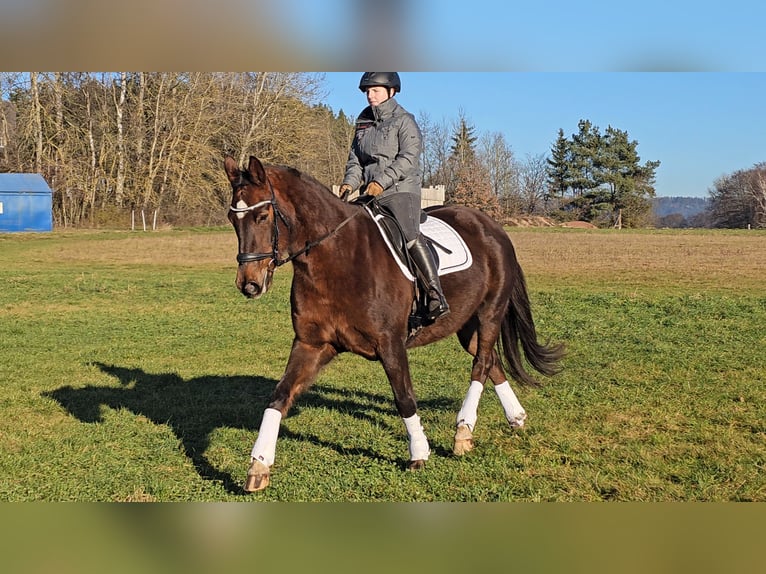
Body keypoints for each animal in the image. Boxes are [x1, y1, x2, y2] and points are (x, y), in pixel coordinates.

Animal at [222, 155, 564, 492]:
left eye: (262, 215)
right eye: (232, 218)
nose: (249, 284)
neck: (336, 259)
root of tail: (493, 226)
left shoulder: (390, 343)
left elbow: (404, 397)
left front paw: (419, 452)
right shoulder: (312, 344)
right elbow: (279, 397)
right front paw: (258, 465)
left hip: (490, 313)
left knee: (480, 365)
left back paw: (463, 431)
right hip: (466, 325)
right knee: (491, 359)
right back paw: (515, 417)